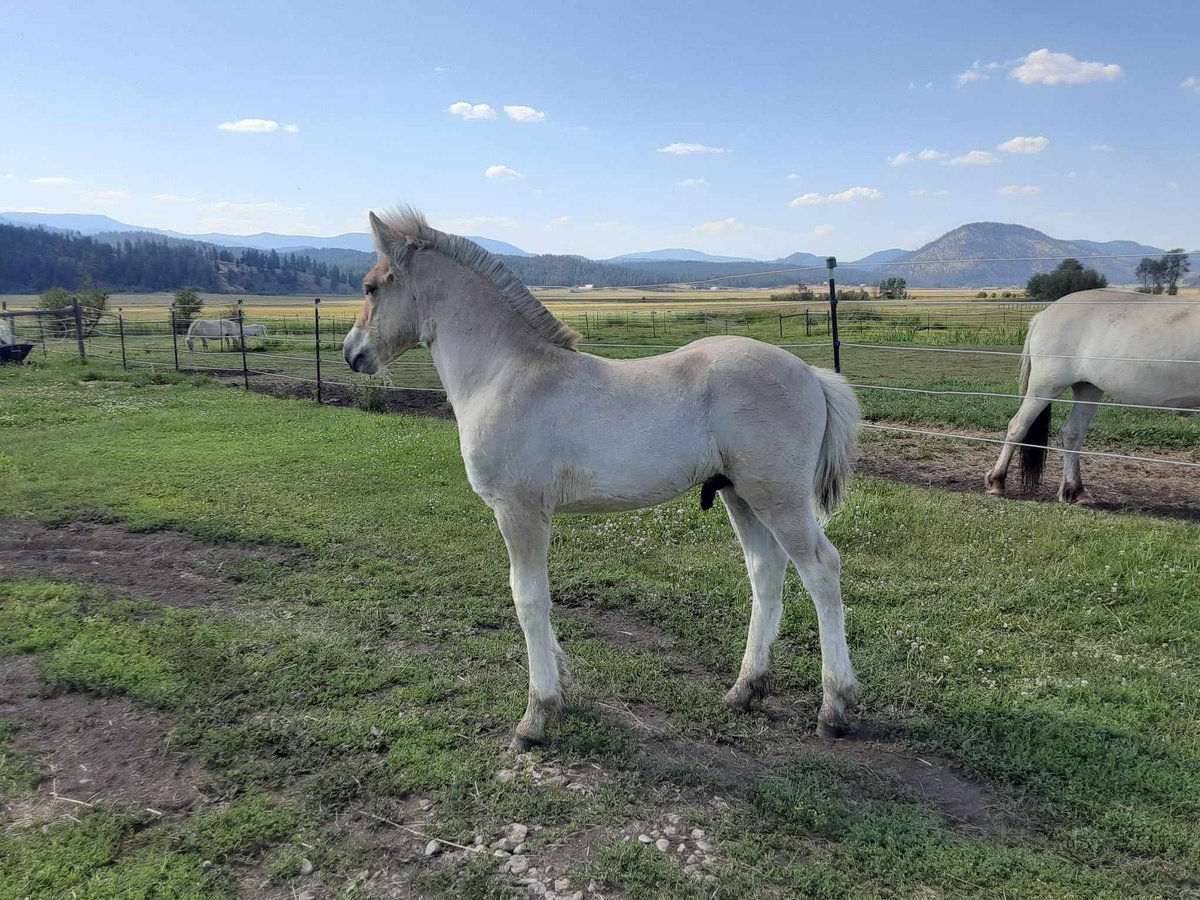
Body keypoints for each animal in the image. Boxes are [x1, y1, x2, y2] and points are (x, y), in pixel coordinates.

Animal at [345, 207, 864, 748]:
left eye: (370, 287)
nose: (351, 353)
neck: (505, 373)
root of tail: (811, 374)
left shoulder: (519, 511)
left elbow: (529, 599)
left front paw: (537, 716)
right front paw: (558, 692)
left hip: (779, 497)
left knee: (821, 569)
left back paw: (834, 707)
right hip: (740, 496)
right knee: (766, 572)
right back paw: (745, 689)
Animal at [984, 290, 1200, 504]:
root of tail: (1044, 314)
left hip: (1088, 389)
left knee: (1072, 433)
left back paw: (1075, 491)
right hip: (1045, 385)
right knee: (1018, 425)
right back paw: (997, 481)